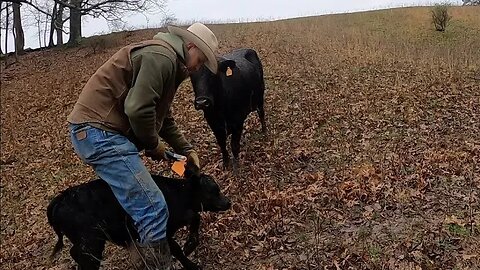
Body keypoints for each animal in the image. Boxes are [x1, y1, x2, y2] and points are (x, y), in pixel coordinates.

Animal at [47, 168, 231, 268]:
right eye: (213, 190)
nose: (228, 202)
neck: (176, 194)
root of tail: (61, 198)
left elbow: (195, 218)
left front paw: (190, 245)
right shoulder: (163, 230)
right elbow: (177, 249)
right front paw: (191, 261)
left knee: (73, 252)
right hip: (91, 242)